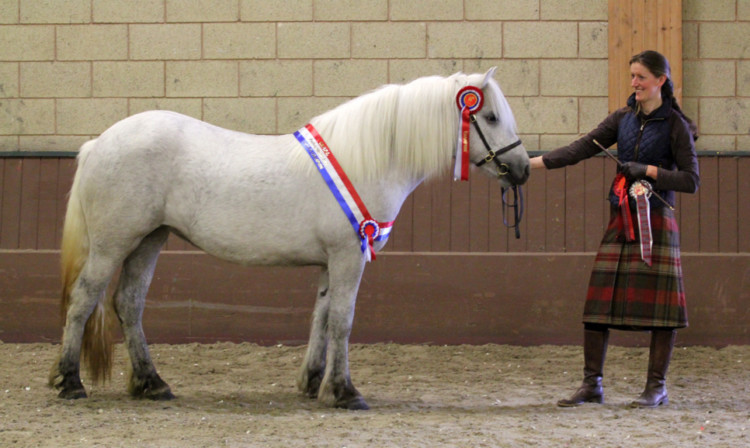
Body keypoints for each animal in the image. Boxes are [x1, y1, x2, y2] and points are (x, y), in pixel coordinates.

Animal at [50, 67, 532, 410]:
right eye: (489, 116)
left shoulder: (331, 261)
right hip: (114, 243)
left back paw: (152, 383)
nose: (523, 169)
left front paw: (314, 382)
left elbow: (321, 317)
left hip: (149, 240)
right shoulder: (348, 256)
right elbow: (342, 320)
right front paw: (344, 392)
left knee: (128, 303)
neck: (368, 158)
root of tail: (98, 143)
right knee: (85, 299)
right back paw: (70, 381)